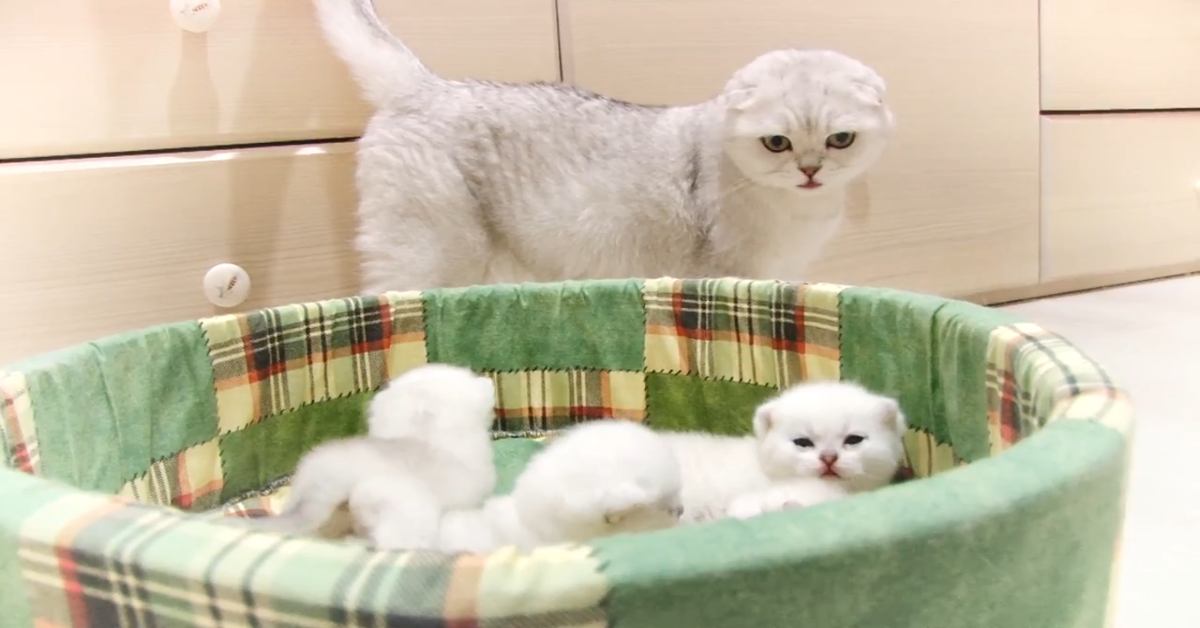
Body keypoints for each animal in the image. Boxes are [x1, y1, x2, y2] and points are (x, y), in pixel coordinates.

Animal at [309, 0, 892, 294]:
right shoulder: (734, 273)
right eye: (777, 143)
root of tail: (424, 83)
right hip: (430, 258)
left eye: (840, 139)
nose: (811, 170)